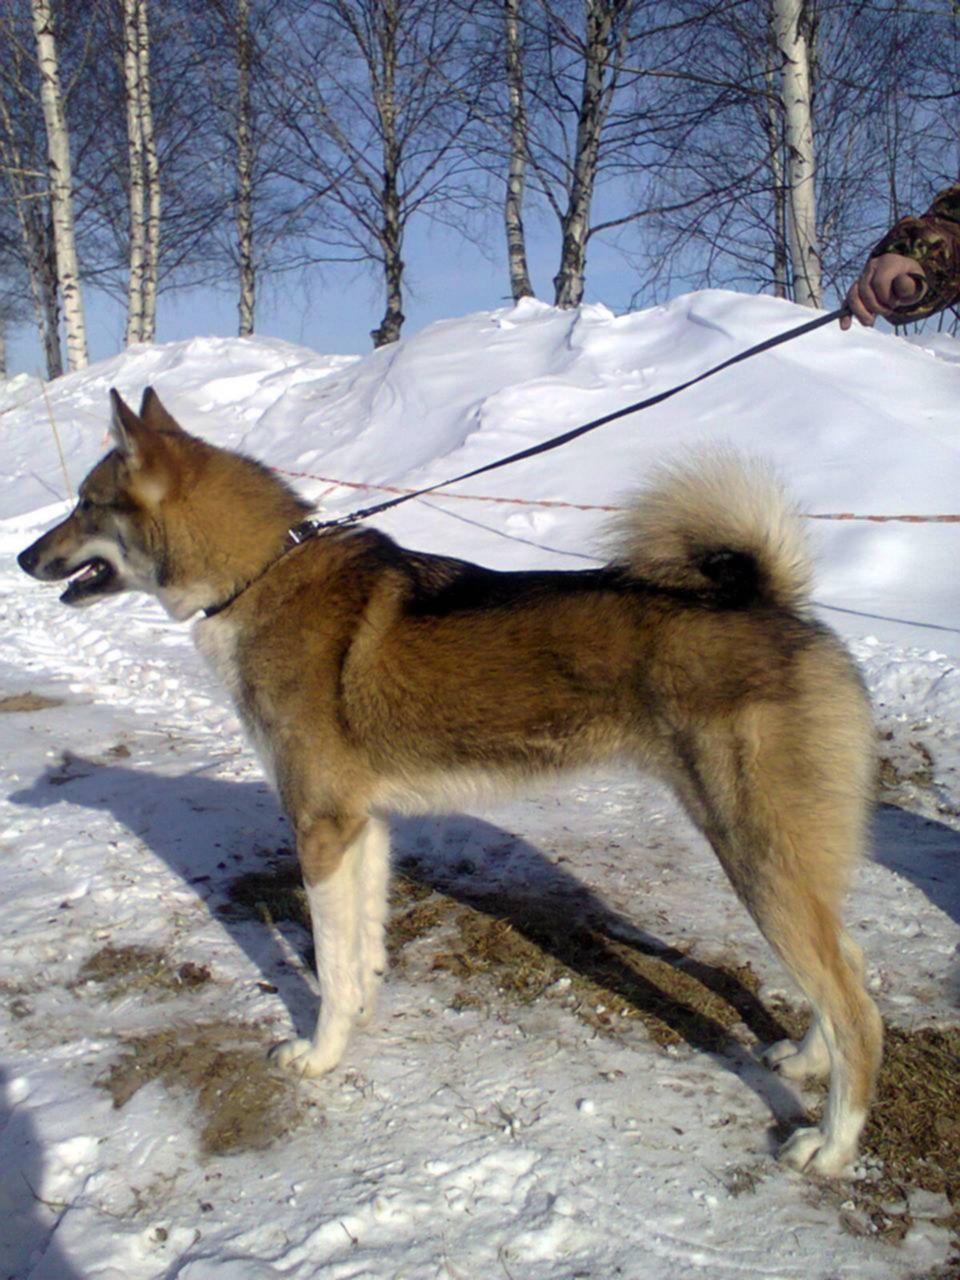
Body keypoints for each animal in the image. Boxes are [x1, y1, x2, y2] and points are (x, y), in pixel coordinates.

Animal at [16, 389, 885, 1177]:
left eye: (86, 505)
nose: (23, 558)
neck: (260, 575)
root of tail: (780, 605)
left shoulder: (320, 826)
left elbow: (329, 962)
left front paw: (320, 1056)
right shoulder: (362, 825)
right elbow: (360, 949)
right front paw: (362, 1013)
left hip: (756, 854)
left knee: (856, 1006)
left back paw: (831, 1146)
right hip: (789, 861)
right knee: (847, 966)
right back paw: (805, 1062)